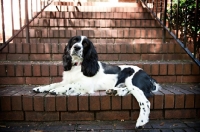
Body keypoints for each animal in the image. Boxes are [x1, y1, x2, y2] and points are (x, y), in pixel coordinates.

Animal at [32, 35, 161, 128]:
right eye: (74, 41)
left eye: (85, 44)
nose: (76, 47)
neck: (78, 65)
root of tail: (148, 76)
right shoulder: (67, 80)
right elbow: (55, 83)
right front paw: (40, 88)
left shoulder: (86, 84)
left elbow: (69, 85)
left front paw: (56, 90)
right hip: (128, 84)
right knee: (127, 90)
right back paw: (114, 91)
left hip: (133, 82)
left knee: (145, 101)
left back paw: (141, 122)